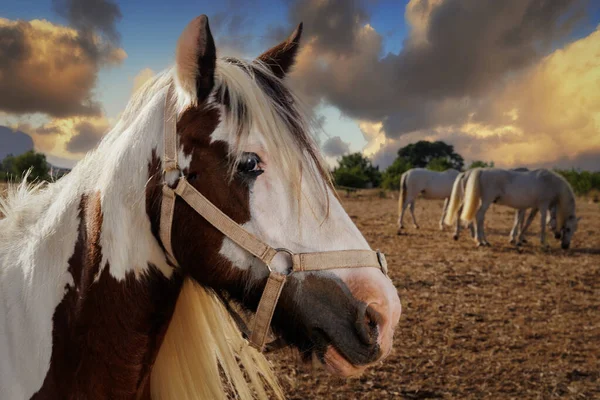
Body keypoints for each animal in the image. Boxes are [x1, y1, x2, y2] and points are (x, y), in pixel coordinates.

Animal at [448, 167, 580, 248]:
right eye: (567, 228)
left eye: (574, 230)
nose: (565, 246)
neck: (550, 182)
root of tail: (481, 170)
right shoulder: (543, 206)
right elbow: (541, 224)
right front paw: (544, 243)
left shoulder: (534, 207)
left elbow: (527, 222)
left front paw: (519, 239)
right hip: (486, 201)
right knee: (479, 216)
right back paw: (480, 241)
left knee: (478, 217)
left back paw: (484, 241)